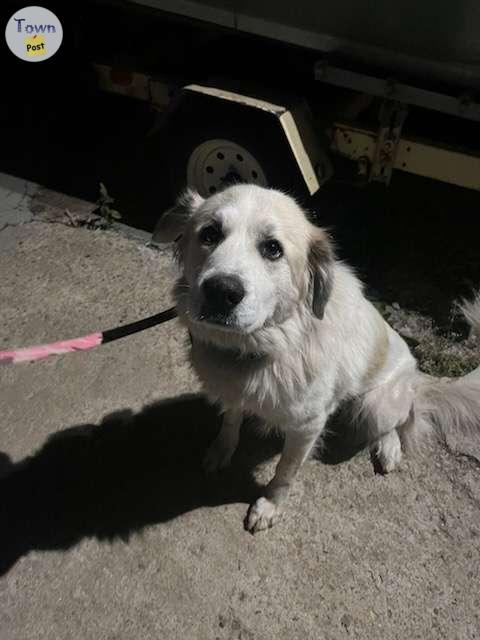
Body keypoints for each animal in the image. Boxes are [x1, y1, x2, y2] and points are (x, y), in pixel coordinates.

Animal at [155, 182, 480, 532]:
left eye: (272, 248)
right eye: (210, 233)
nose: (221, 291)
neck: (267, 346)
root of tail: (417, 375)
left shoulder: (307, 426)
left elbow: (285, 471)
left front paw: (269, 506)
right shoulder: (233, 393)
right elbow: (230, 422)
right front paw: (221, 450)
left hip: (375, 405)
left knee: (404, 418)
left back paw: (389, 448)